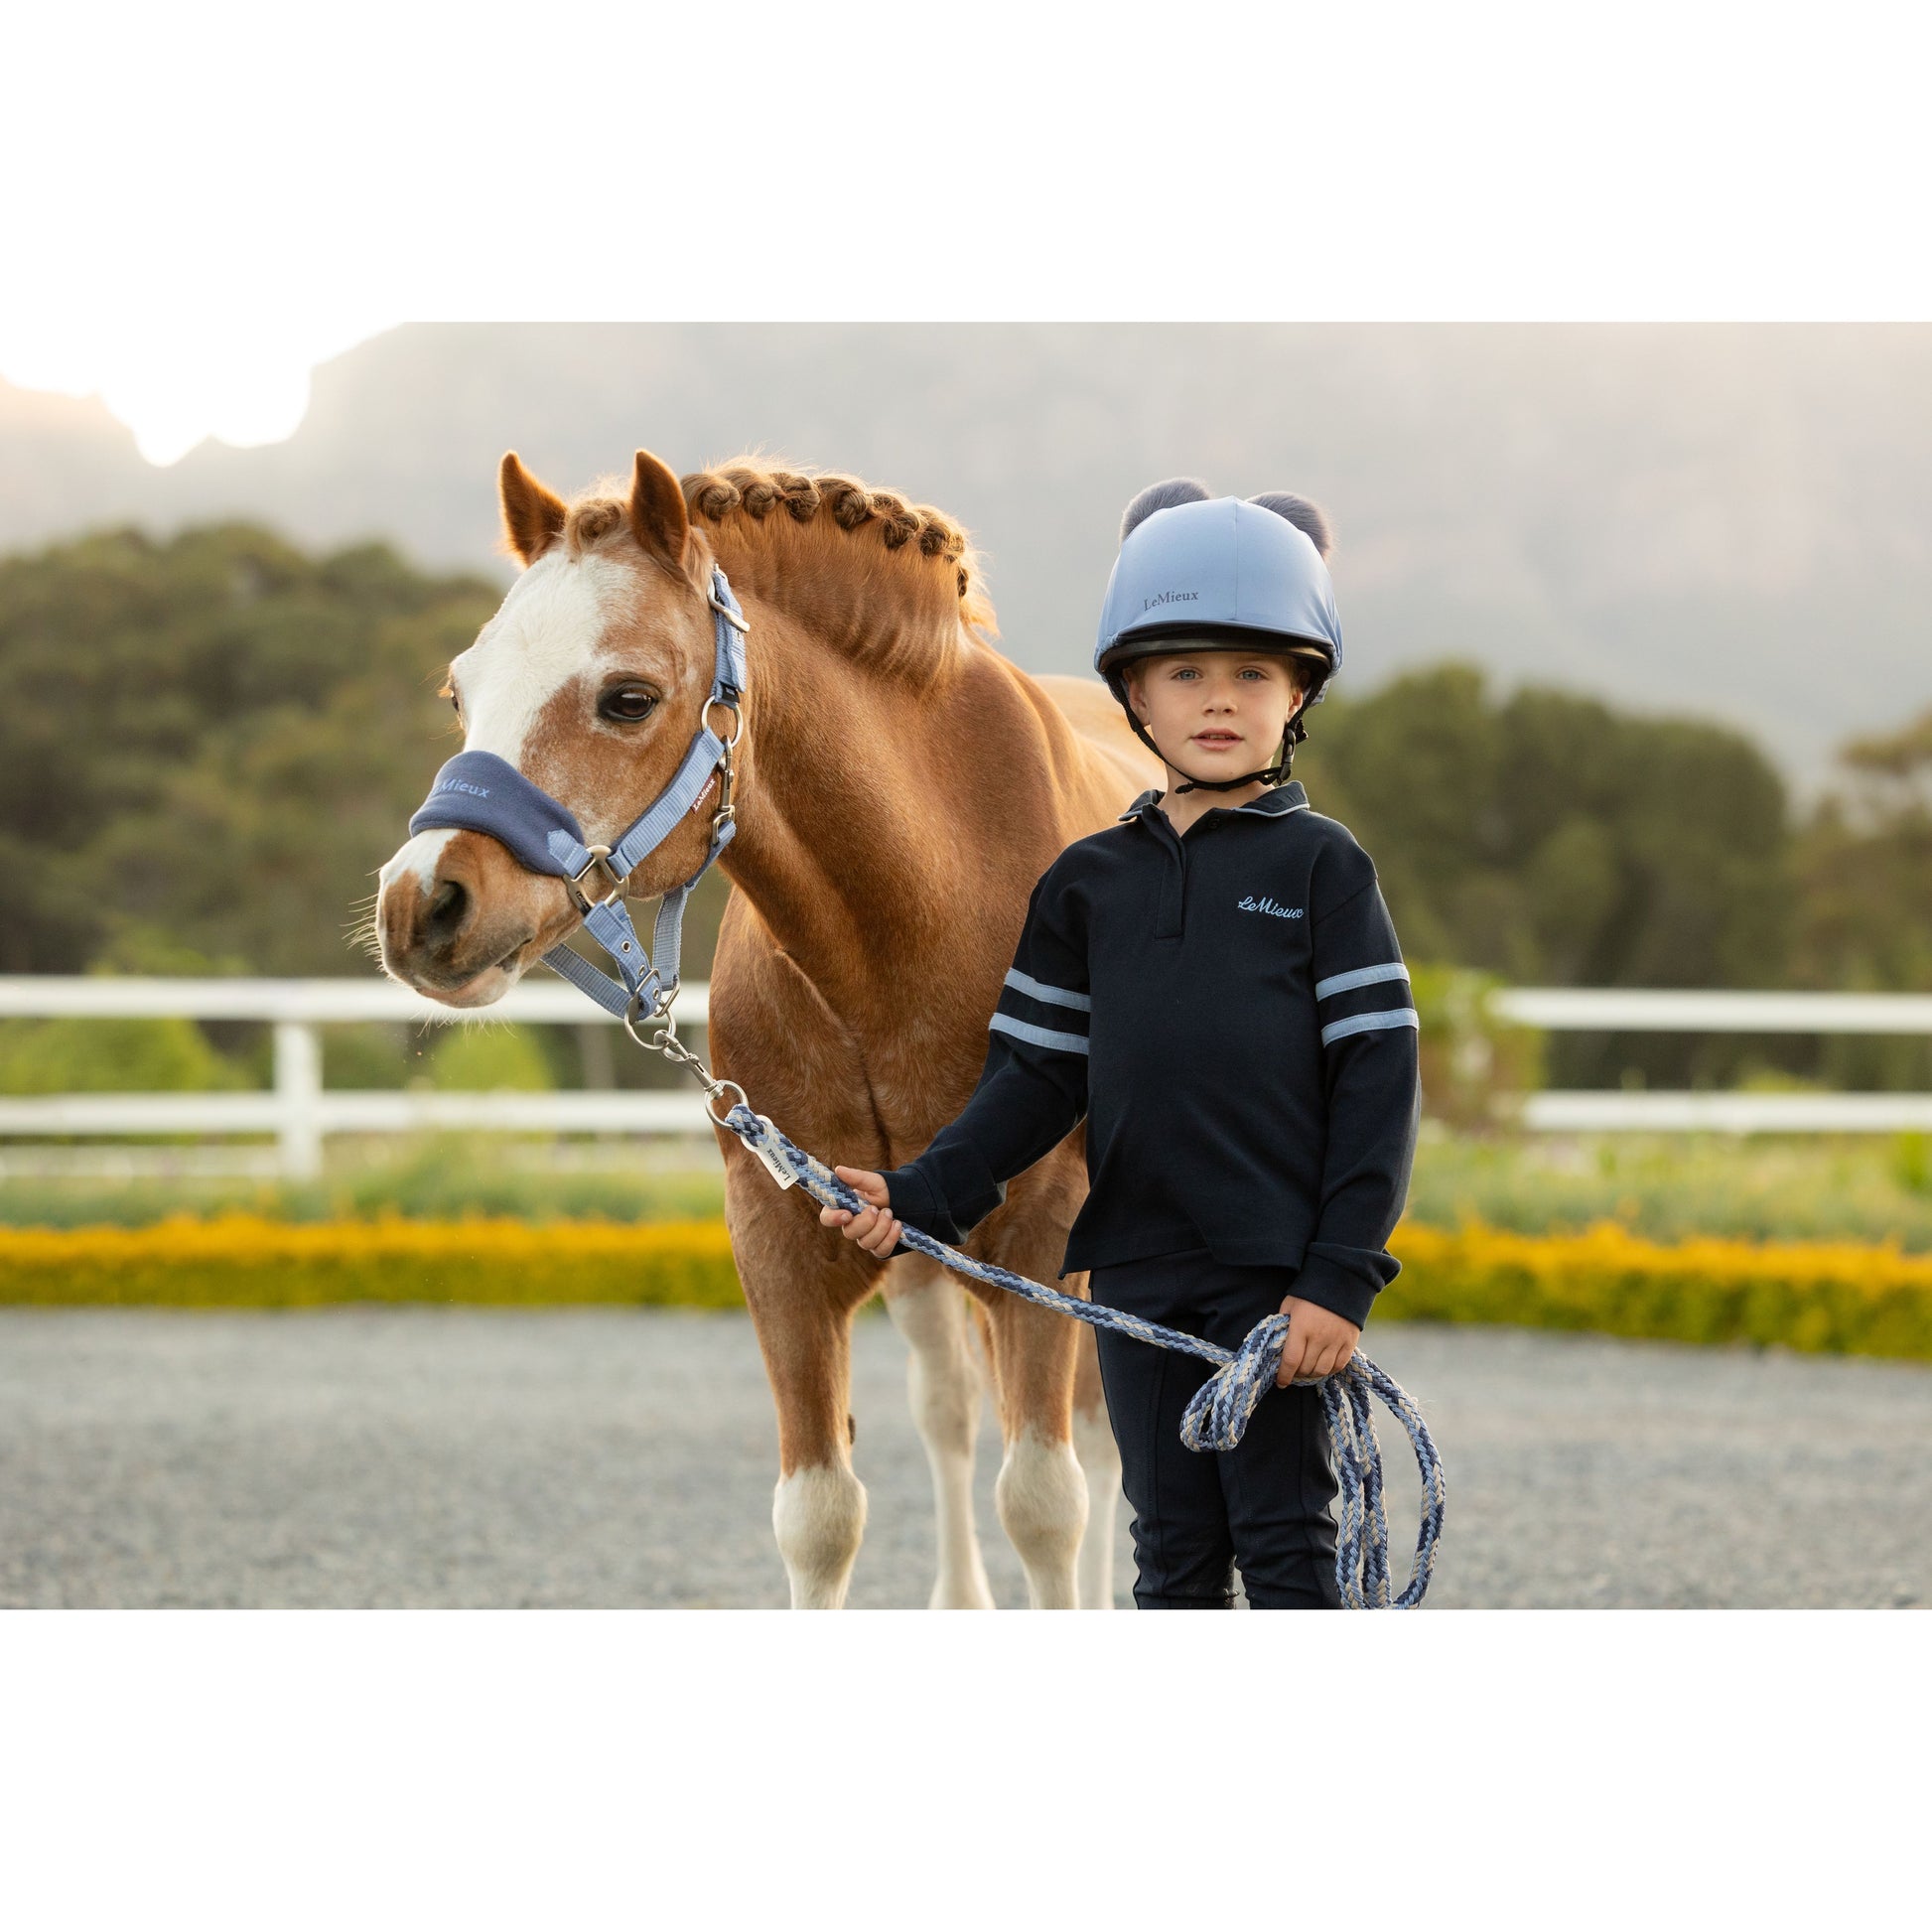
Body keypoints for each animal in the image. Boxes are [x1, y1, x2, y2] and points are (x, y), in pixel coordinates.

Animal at [376, 448, 1160, 1608]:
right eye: (459, 689)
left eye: (627, 698)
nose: (419, 905)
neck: (912, 931)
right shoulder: (782, 1236)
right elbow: (820, 1515)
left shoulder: (1045, 1233)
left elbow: (1046, 1500)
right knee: (948, 1408)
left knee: (1105, 1441)